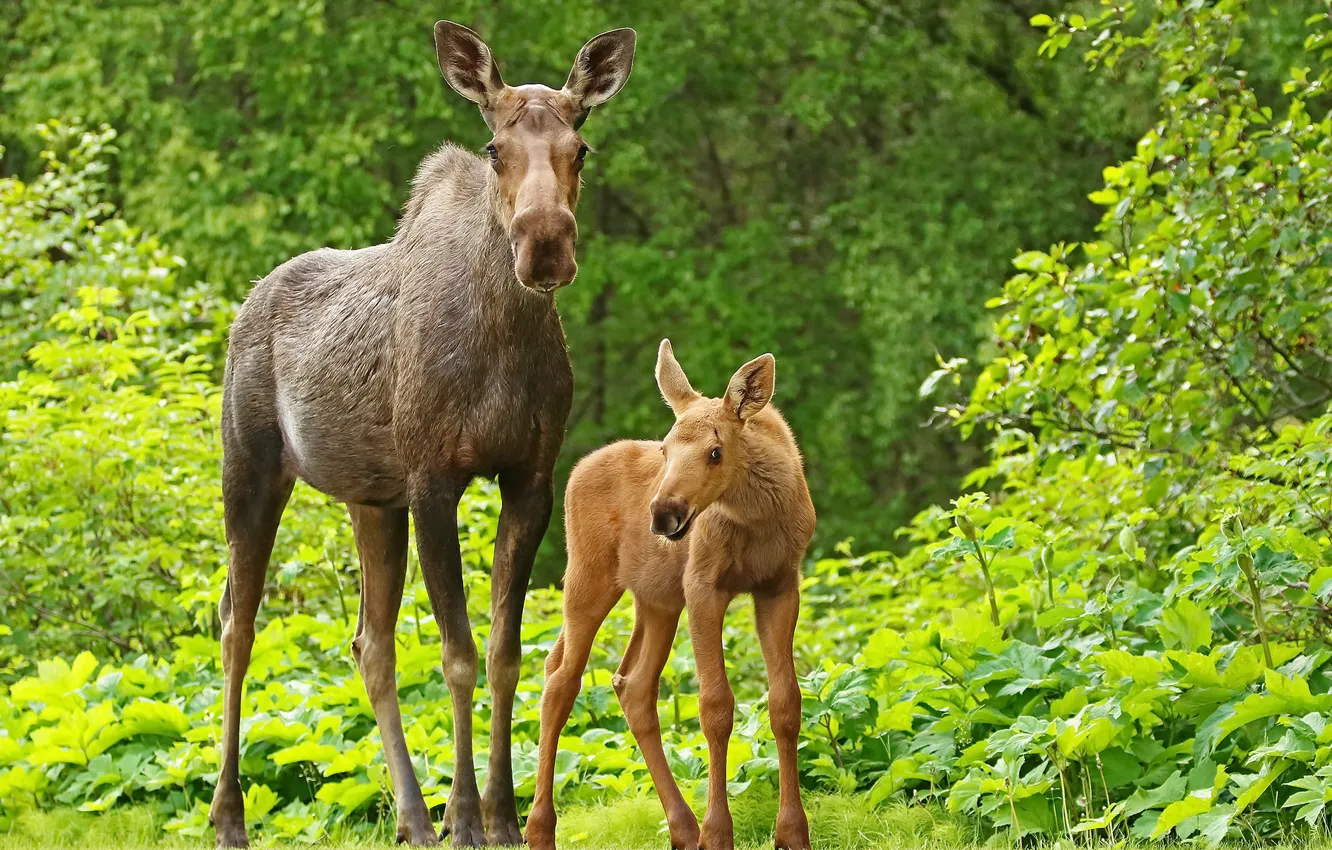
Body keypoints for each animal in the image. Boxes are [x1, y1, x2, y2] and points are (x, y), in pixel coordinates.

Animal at [207, 21, 636, 849]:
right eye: (496, 146)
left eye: (582, 146)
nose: (545, 245)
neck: (505, 341)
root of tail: (247, 303)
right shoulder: (434, 478)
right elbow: (457, 653)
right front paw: (466, 817)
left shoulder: (528, 478)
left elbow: (504, 653)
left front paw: (504, 817)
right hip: (251, 465)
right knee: (237, 626)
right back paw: (228, 815)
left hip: (372, 500)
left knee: (367, 645)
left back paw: (410, 815)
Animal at [525, 340, 816, 850]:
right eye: (665, 449)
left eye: (716, 452)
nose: (663, 514)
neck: (759, 517)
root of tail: (575, 471)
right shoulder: (702, 586)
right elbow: (715, 707)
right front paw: (719, 834)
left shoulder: (780, 586)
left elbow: (786, 703)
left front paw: (792, 832)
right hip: (587, 579)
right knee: (562, 680)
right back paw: (539, 828)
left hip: (656, 600)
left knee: (631, 684)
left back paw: (683, 826)